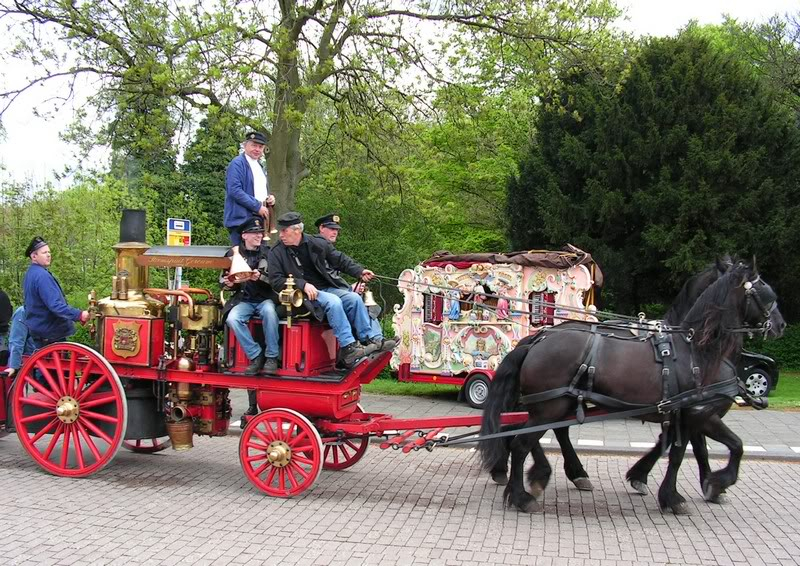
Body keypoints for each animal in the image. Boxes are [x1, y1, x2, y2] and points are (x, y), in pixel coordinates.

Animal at [484, 264, 784, 516]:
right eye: (767, 293)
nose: (781, 325)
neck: (700, 350)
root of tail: (539, 339)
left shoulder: (683, 414)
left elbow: (680, 451)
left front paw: (676, 488)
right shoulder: (701, 413)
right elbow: (732, 446)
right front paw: (712, 484)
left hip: (555, 404)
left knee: (535, 434)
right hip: (549, 406)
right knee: (522, 443)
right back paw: (523, 495)